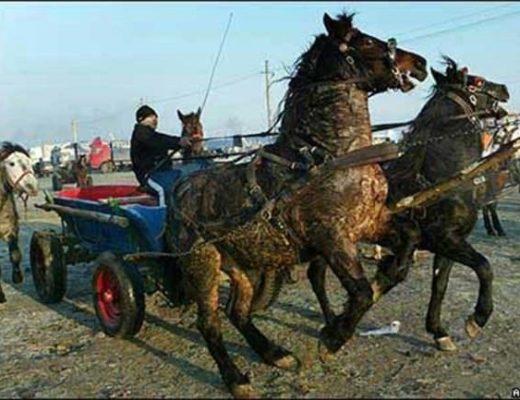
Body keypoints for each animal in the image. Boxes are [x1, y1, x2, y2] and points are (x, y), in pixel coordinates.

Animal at [166, 13, 426, 396]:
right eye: (364, 41)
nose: (420, 63)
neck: (327, 156)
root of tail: (179, 190)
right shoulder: (331, 237)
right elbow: (361, 292)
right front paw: (331, 339)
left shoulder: (369, 223)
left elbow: (408, 240)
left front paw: (385, 275)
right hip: (203, 265)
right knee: (209, 322)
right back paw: (235, 379)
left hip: (241, 267)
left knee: (237, 312)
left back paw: (276, 354)